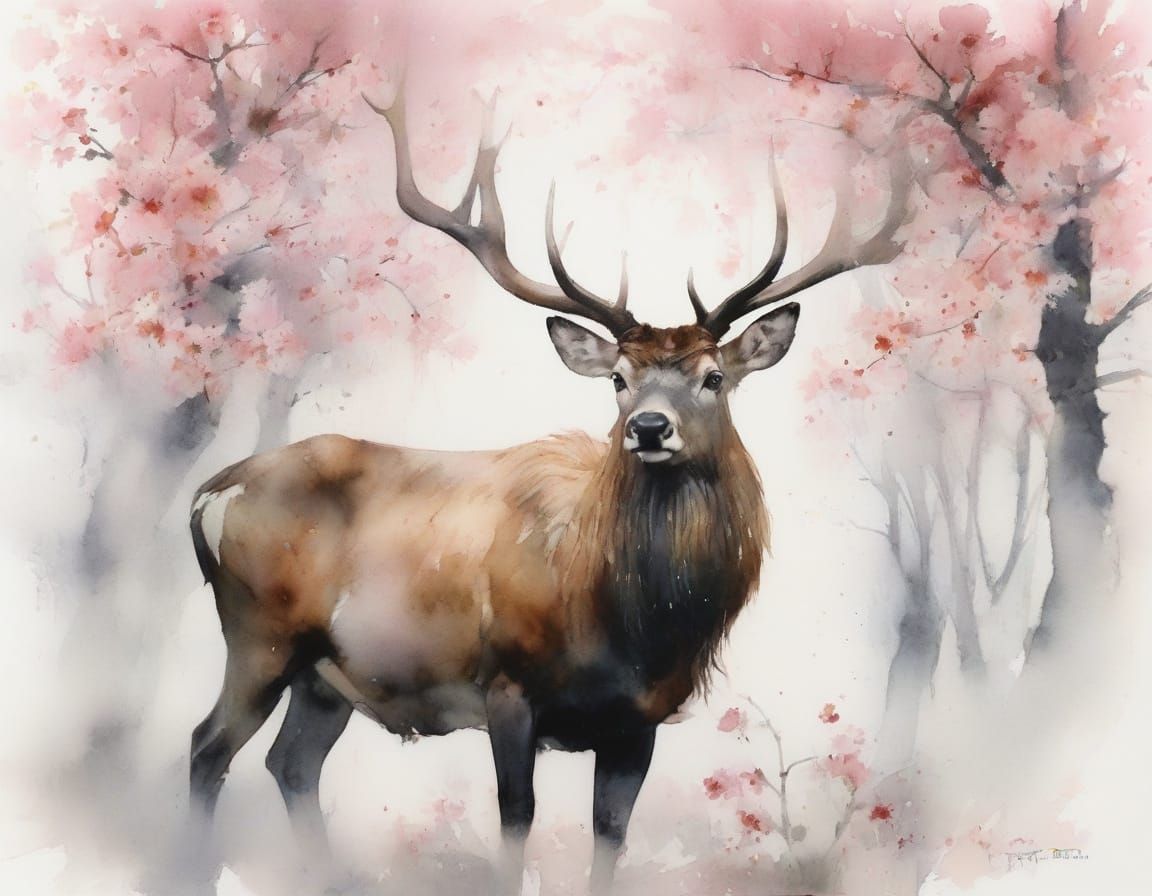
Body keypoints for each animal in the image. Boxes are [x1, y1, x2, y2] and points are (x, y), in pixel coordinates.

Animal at [187, 85, 908, 894]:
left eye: (714, 377)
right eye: (619, 379)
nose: (649, 427)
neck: (626, 626)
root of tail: (208, 494)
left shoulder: (638, 720)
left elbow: (610, 834)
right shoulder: (508, 682)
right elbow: (516, 819)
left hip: (325, 676)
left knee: (291, 764)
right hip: (259, 633)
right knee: (207, 747)